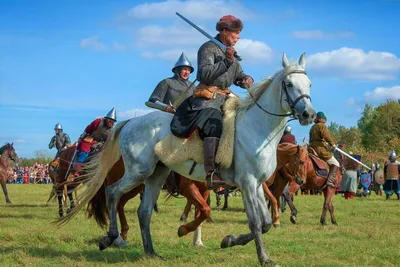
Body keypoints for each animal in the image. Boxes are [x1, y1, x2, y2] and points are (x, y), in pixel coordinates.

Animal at [61, 53, 316, 266]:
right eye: (289, 84)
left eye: (309, 84)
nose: (309, 114)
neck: (256, 128)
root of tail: (130, 122)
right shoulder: (247, 183)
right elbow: (255, 222)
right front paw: (262, 257)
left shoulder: (258, 184)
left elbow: (264, 223)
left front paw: (229, 240)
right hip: (138, 172)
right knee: (113, 193)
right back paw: (111, 238)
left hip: (156, 174)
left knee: (144, 211)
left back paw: (150, 252)